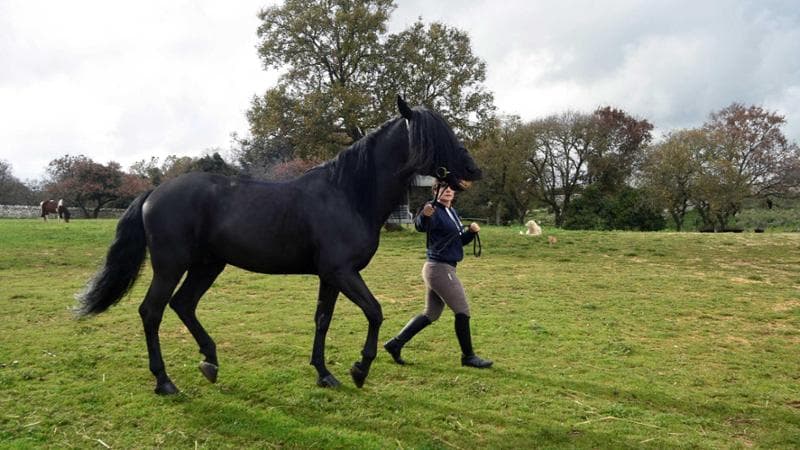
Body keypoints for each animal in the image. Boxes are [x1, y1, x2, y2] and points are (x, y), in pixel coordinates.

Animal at [75, 96, 483, 395]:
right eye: (435, 136)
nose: (473, 170)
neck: (347, 193)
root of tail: (153, 193)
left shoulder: (330, 276)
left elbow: (323, 320)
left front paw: (324, 373)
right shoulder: (342, 272)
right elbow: (375, 312)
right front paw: (359, 368)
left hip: (208, 265)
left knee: (183, 305)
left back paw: (210, 362)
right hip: (170, 265)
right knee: (152, 311)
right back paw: (164, 381)